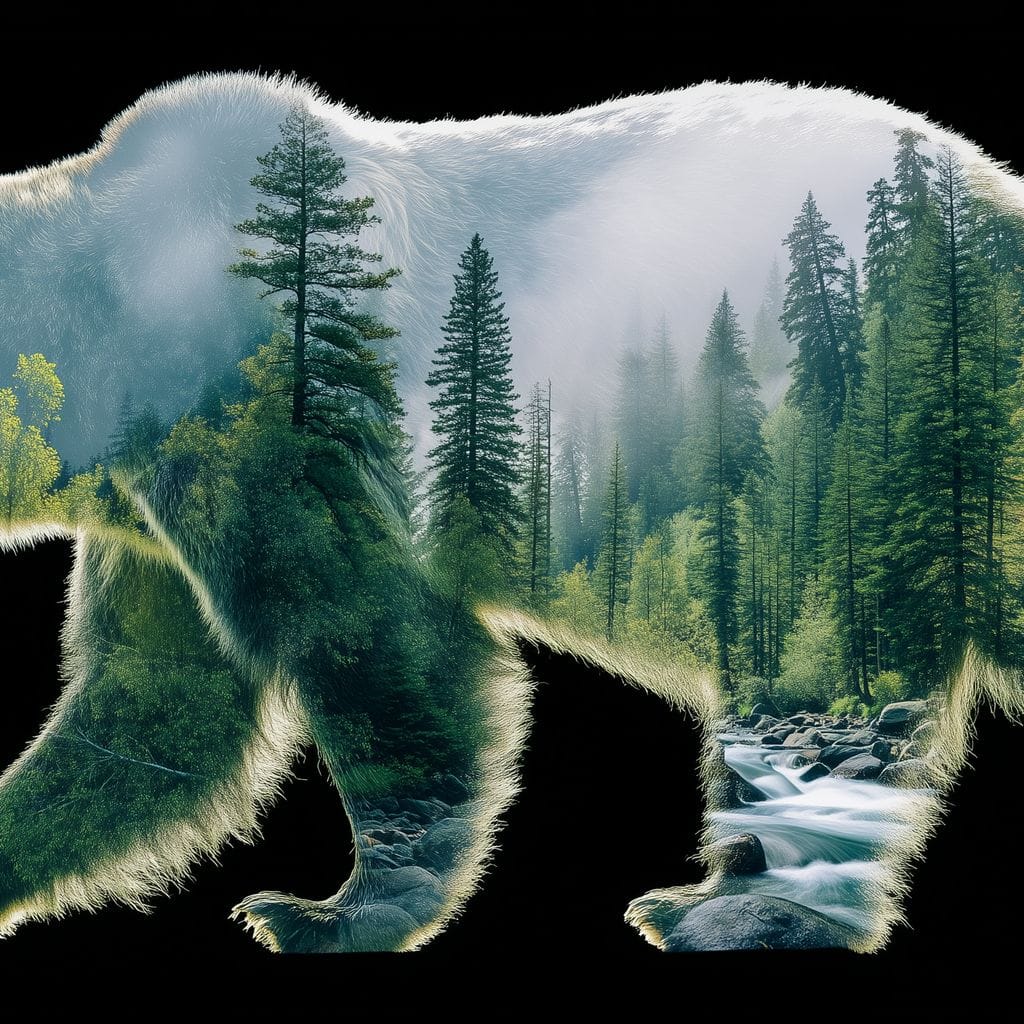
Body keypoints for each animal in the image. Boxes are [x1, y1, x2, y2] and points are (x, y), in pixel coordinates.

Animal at [1, 71, 1023, 954]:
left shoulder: (264, 406)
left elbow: (382, 642)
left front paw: (323, 911)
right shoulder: (152, 509)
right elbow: (154, 699)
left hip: (859, 429)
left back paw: (711, 908)